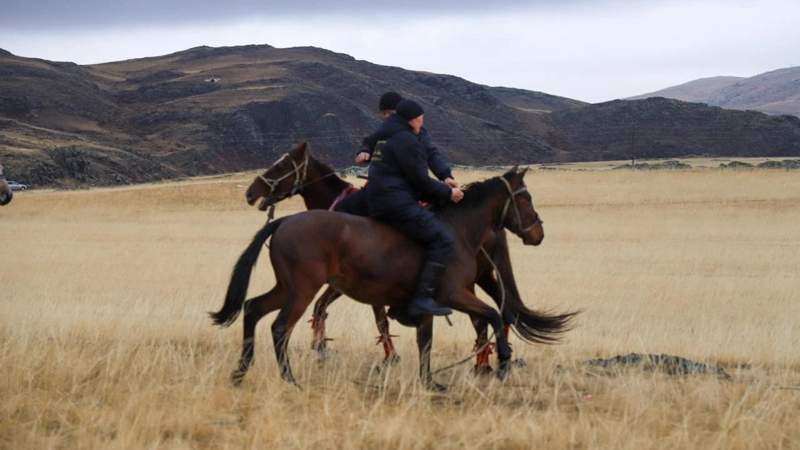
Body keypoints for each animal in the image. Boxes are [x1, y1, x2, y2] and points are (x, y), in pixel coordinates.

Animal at [212, 167, 576, 388]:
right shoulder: (453, 295)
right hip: (301, 290)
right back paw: (288, 378)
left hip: (286, 287)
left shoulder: (429, 304)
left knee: (252, 309)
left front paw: (430, 382)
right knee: (278, 327)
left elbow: (426, 342)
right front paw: (502, 362)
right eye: (526, 197)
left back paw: (241, 371)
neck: (457, 230)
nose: (538, 233)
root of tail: (284, 221)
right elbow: (492, 315)